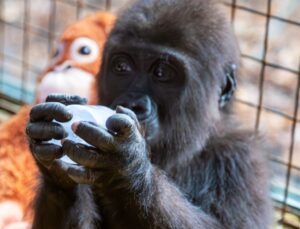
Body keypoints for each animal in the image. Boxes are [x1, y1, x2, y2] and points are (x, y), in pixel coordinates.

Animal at [26, 0, 272, 228]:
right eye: (122, 67)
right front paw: (55, 175)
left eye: (162, 73)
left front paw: (128, 168)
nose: (133, 104)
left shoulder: (241, 160)